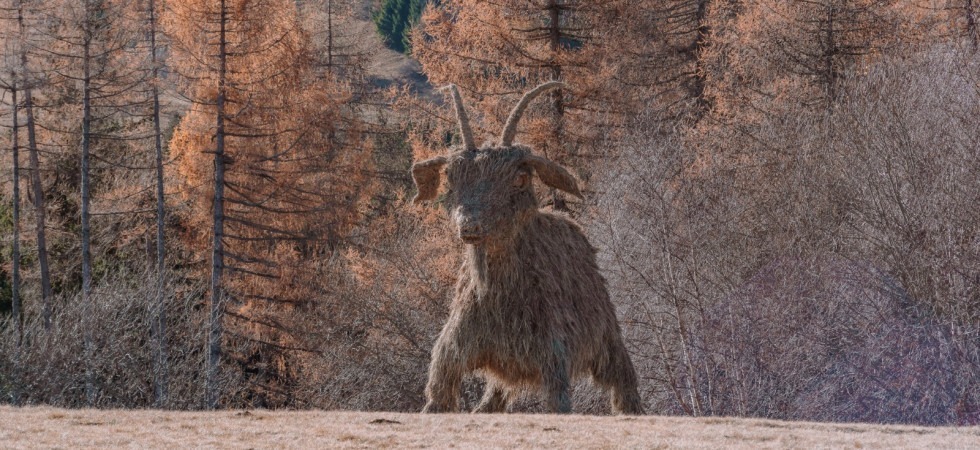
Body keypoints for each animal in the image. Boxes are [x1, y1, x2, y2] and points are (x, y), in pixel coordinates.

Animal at [411, 82, 644, 415]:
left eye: (520, 178)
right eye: (451, 178)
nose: (470, 225)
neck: (497, 300)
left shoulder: (554, 359)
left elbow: (560, 405)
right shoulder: (450, 354)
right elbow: (436, 399)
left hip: (608, 339)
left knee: (625, 386)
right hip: (505, 373)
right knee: (490, 404)